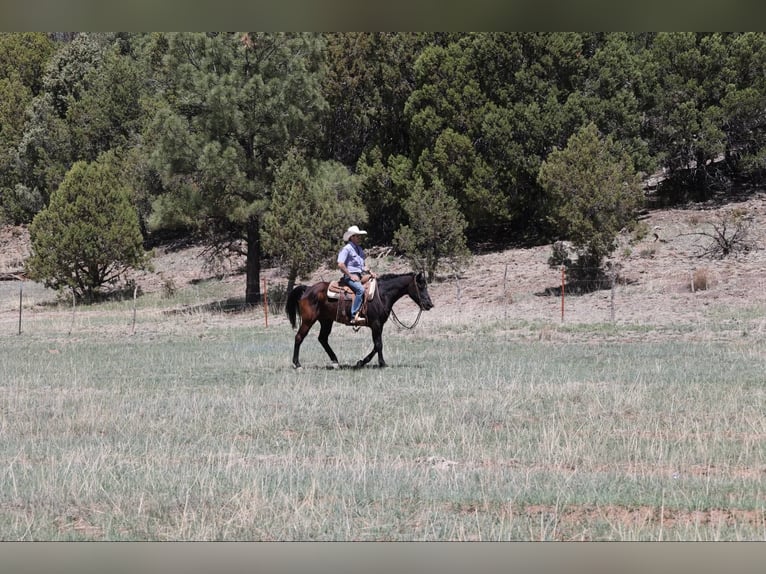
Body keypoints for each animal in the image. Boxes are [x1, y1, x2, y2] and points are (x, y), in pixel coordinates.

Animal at [285, 272, 434, 369]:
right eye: (421, 286)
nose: (429, 304)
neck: (381, 294)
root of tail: (308, 289)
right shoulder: (376, 324)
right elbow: (378, 344)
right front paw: (381, 363)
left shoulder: (379, 325)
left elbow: (376, 345)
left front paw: (361, 362)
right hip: (308, 320)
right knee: (299, 337)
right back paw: (297, 364)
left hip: (326, 321)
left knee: (322, 339)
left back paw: (335, 362)